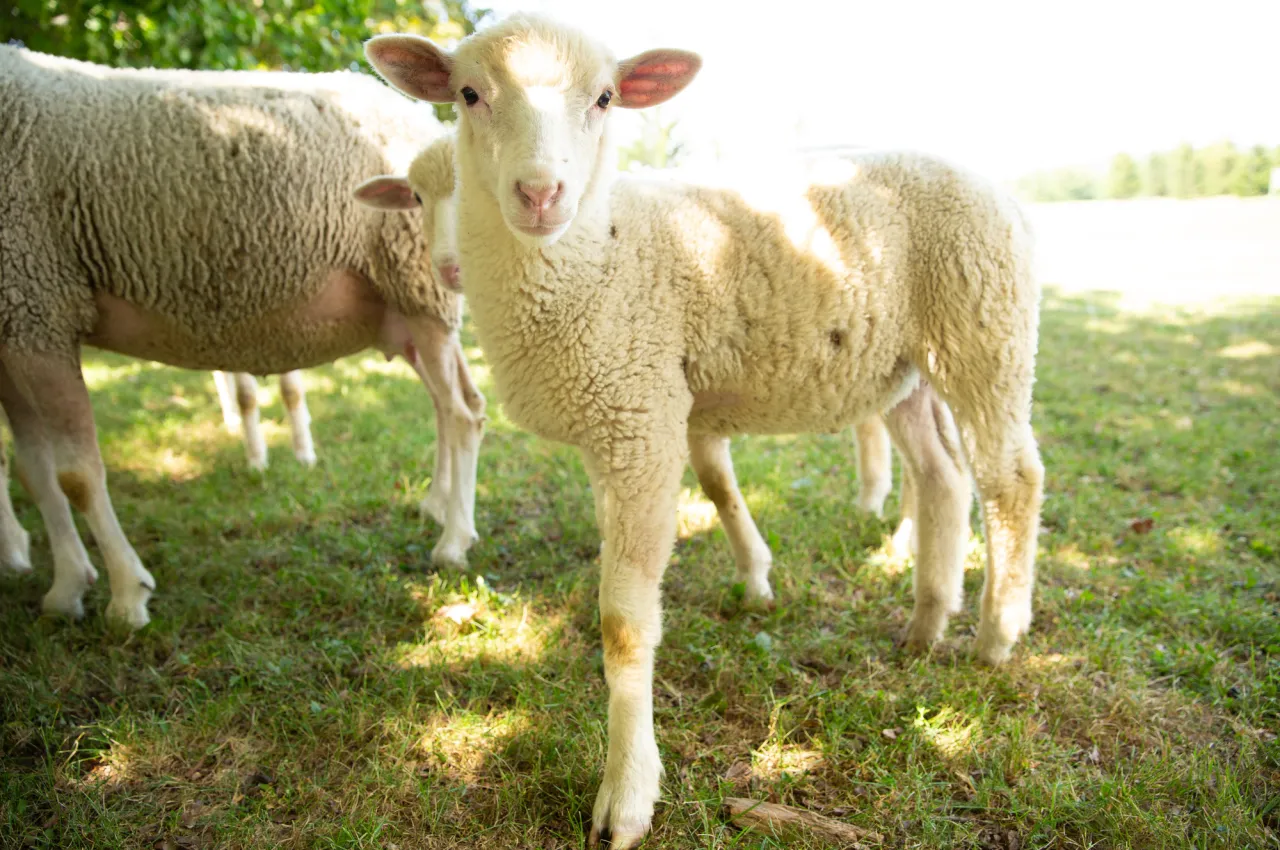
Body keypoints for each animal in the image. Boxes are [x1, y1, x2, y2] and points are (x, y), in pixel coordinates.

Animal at [0, 45, 486, 628]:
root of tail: (422, 117)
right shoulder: (13, 330)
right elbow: (34, 471)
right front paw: (65, 587)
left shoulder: (39, 304)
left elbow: (75, 475)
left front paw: (124, 594)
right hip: (407, 310)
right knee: (451, 404)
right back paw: (438, 504)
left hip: (420, 289)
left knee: (461, 412)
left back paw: (453, 541)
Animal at [368, 18, 1043, 841]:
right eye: (468, 94)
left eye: (606, 97)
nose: (539, 193)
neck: (593, 260)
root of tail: (996, 185)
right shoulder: (618, 423)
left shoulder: (640, 421)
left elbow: (625, 624)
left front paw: (625, 797)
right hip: (905, 367)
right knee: (942, 475)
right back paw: (924, 623)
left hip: (985, 327)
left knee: (1012, 477)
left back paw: (996, 633)